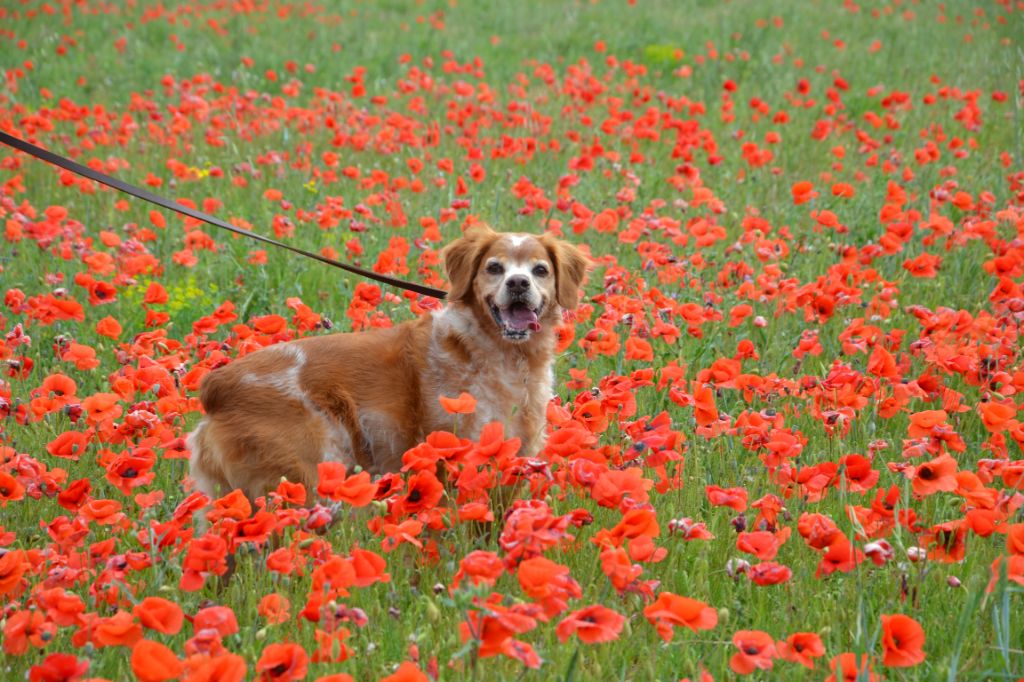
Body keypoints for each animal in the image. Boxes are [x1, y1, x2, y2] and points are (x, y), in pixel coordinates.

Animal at [188, 223, 589, 499]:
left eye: (540, 270)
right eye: (494, 267)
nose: (518, 283)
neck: (505, 356)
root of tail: (215, 384)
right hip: (305, 480)